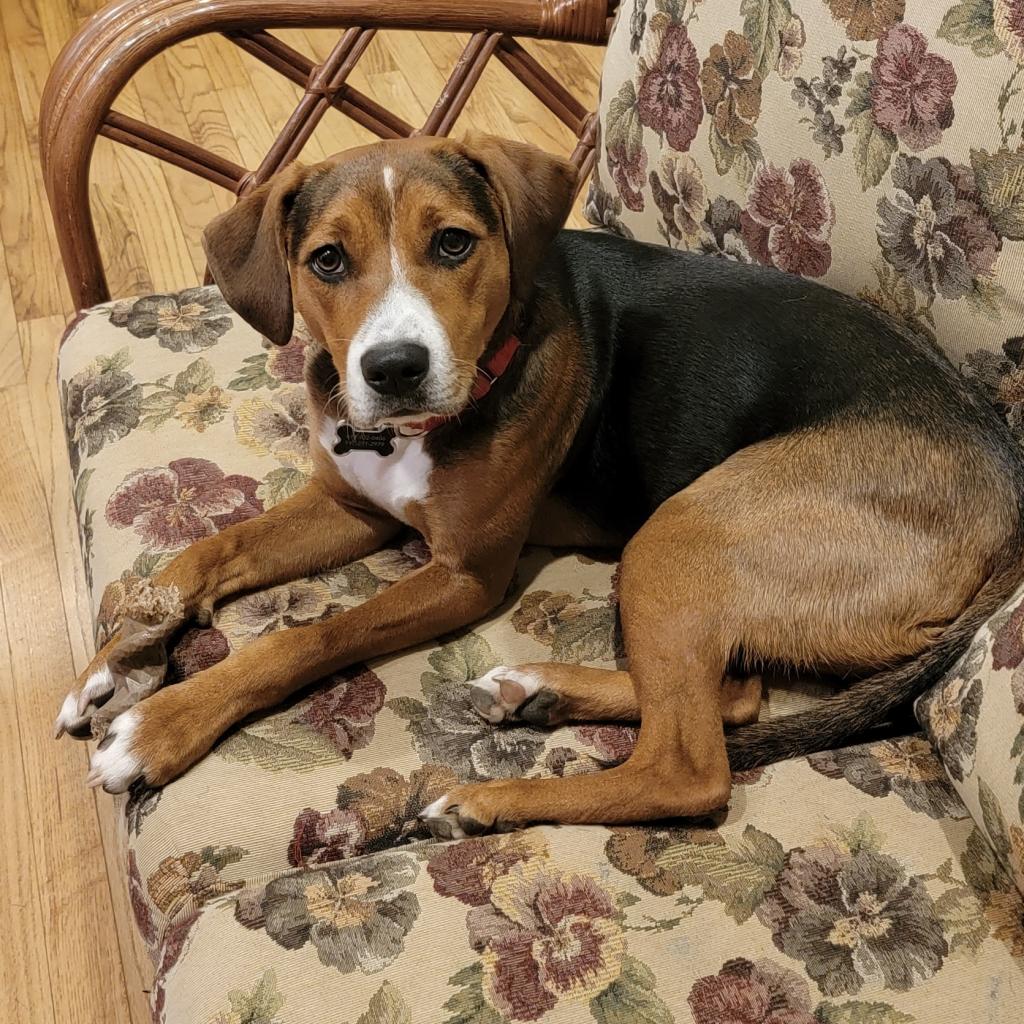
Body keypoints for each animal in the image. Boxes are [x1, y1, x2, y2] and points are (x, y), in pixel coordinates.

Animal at [58, 132, 1024, 835]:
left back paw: (491, 801)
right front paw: (121, 657)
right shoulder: (350, 506)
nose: (394, 368)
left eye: (454, 242)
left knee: (689, 767)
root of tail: (1009, 487)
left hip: (683, 530)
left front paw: (164, 723)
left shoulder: (464, 575)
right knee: (737, 695)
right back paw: (538, 691)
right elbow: (205, 553)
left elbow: (313, 636)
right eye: (327, 262)